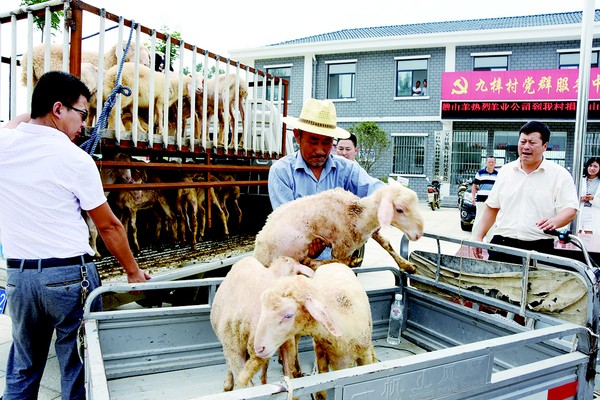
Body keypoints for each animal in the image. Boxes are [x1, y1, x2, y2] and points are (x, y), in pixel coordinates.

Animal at [253, 177, 422, 274]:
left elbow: (387, 244)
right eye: (399, 209)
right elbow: (339, 264)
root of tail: (257, 253)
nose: (419, 234)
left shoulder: (372, 231)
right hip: (296, 245)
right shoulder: (342, 247)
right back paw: (351, 261)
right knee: (310, 263)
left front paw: (407, 265)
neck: (358, 214)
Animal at [253, 262, 376, 400]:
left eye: (288, 315)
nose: (259, 348)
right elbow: (321, 393)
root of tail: (332, 263)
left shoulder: (364, 356)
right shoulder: (321, 354)